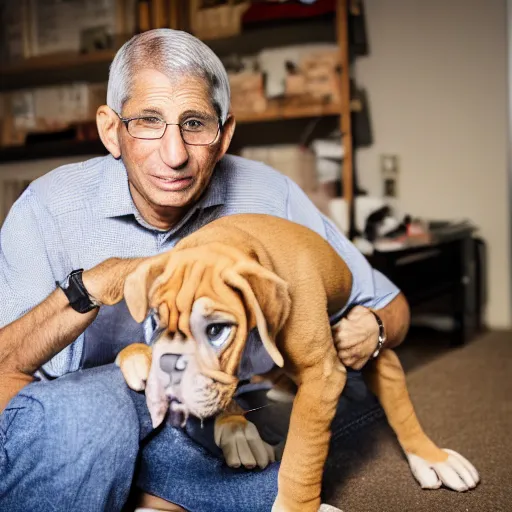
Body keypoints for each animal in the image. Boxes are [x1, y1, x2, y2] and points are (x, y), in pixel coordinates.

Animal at [116, 213, 480, 512]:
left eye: (217, 331)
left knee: (396, 400)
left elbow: (301, 457)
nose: (169, 370)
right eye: (156, 321)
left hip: (370, 340)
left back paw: (431, 457)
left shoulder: (323, 375)